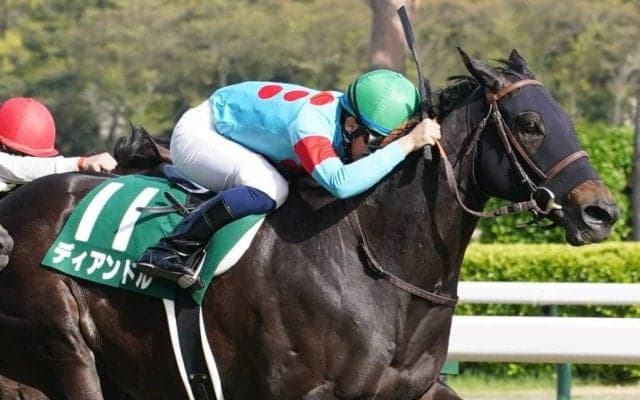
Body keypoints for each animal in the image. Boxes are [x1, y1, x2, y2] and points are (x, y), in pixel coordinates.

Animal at [0, 49, 619, 400]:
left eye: (563, 116)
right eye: (530, 123)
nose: (602, 211)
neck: (379, 264)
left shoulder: (414, 391)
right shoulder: (301, 390)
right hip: (65, 354)